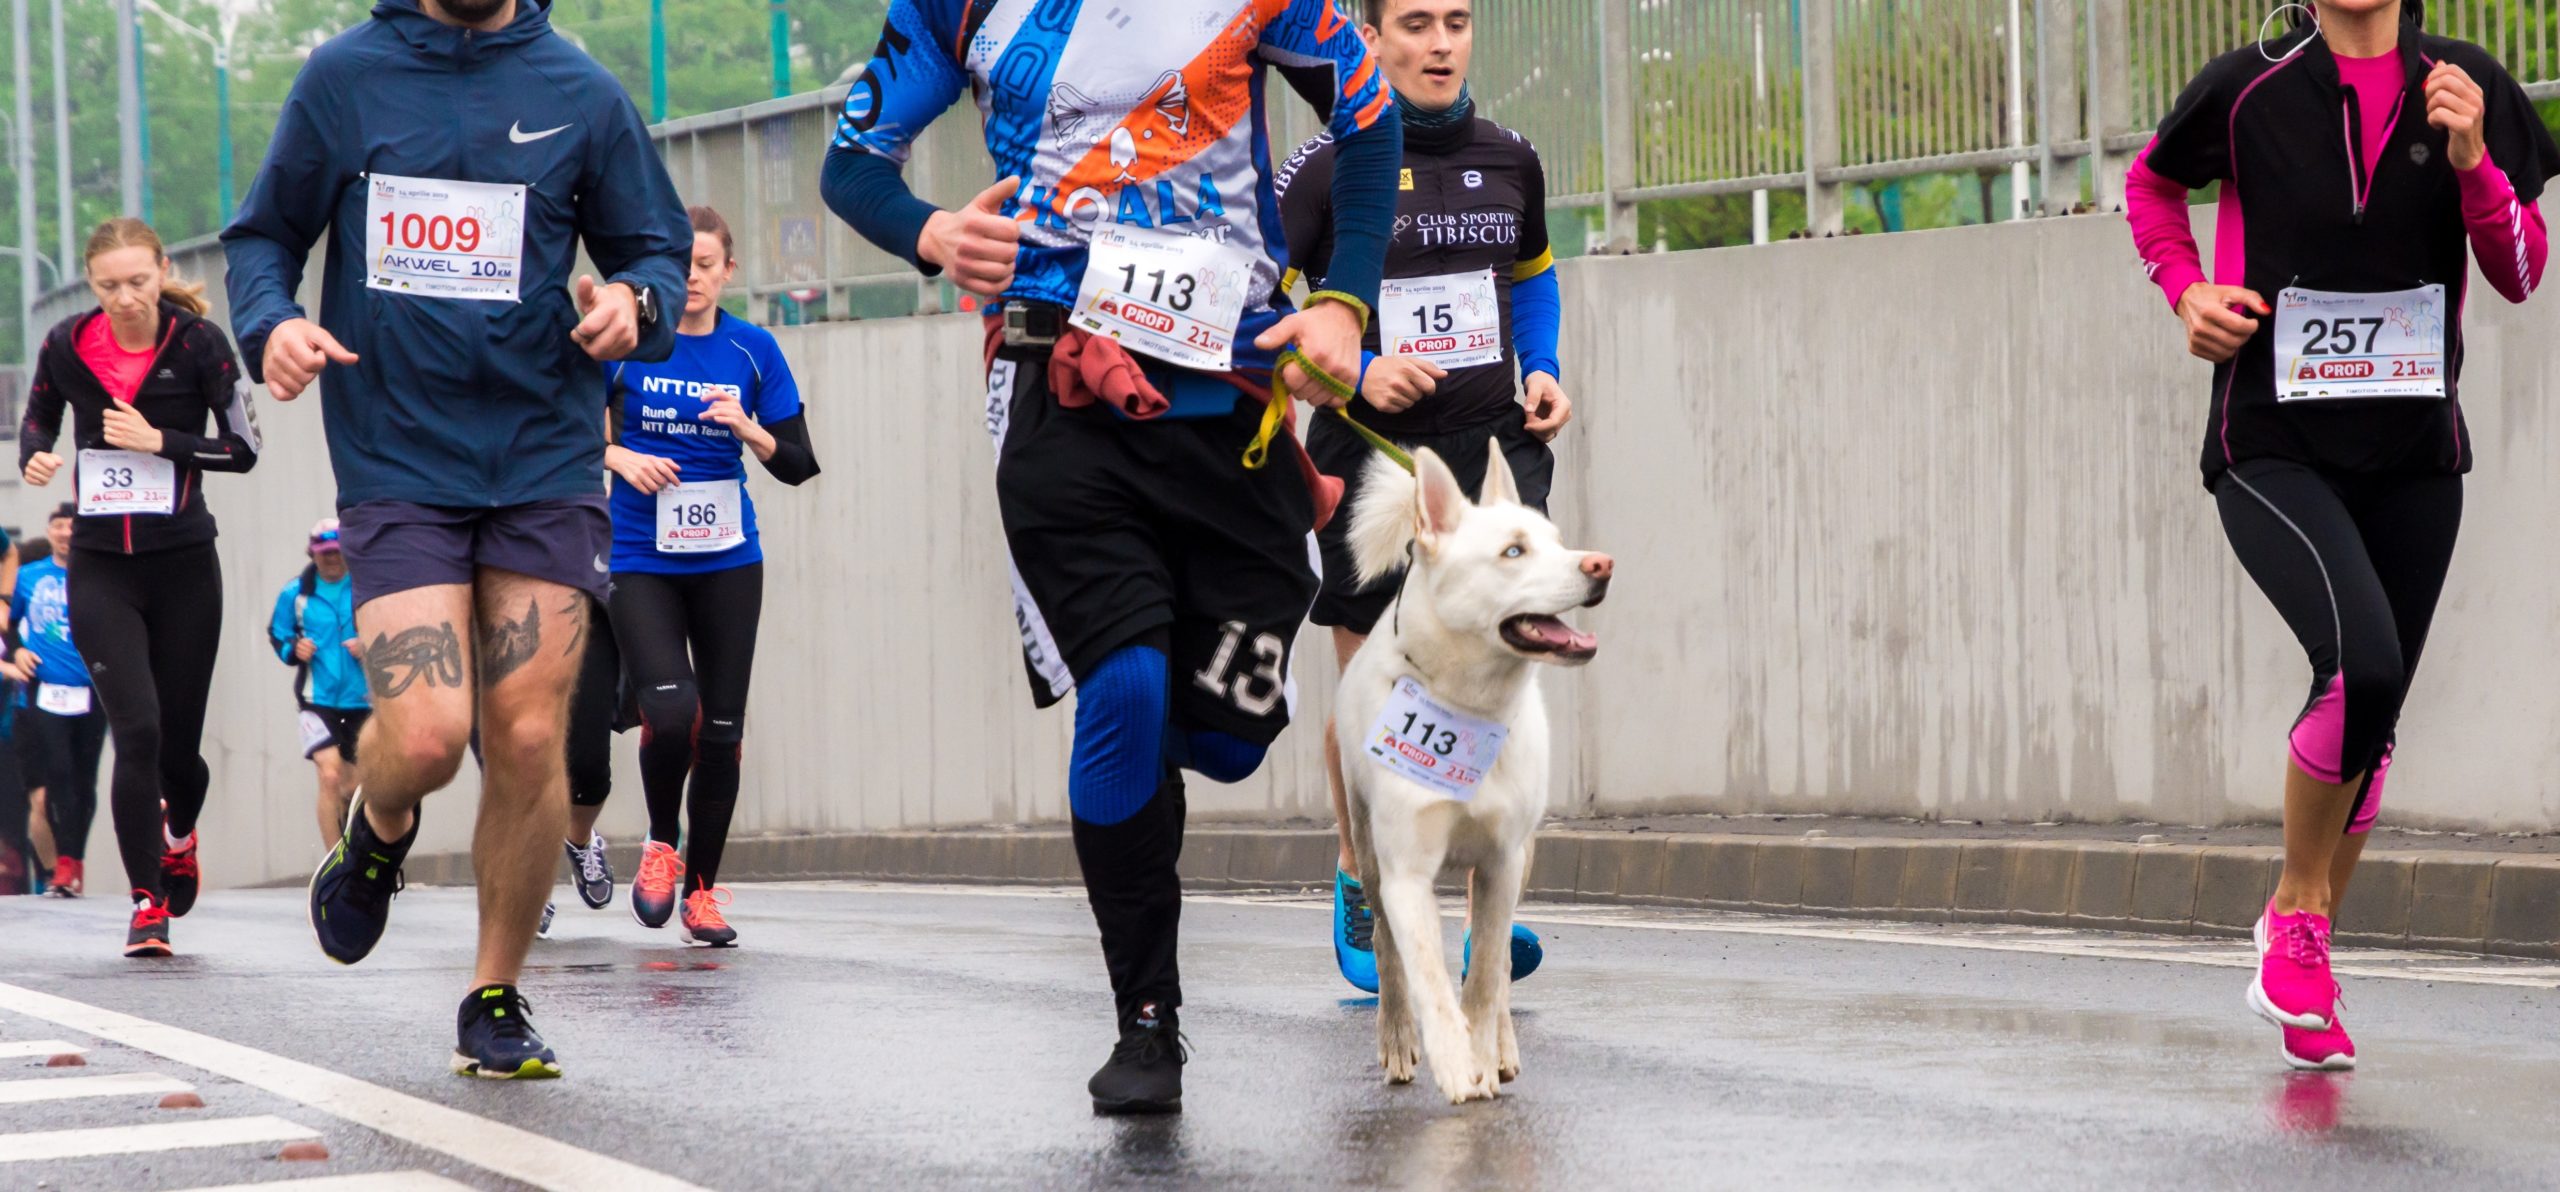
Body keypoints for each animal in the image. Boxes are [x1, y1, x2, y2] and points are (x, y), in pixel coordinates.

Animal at [1331, 442, 1607, 1105]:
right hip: (1368, 849)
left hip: (1521, 856)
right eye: (1513, 551)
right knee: (1387, 951)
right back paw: (1397, 1038)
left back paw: (1502, 1049)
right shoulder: (1406, 873)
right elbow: (1428, 976)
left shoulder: (1502, 860)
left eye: (1557, 541)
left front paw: (1482, 1056)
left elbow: (1484, 974)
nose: (1601, 564)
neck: (1471, 708)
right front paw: (1454, 1062)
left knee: (1498, 960)